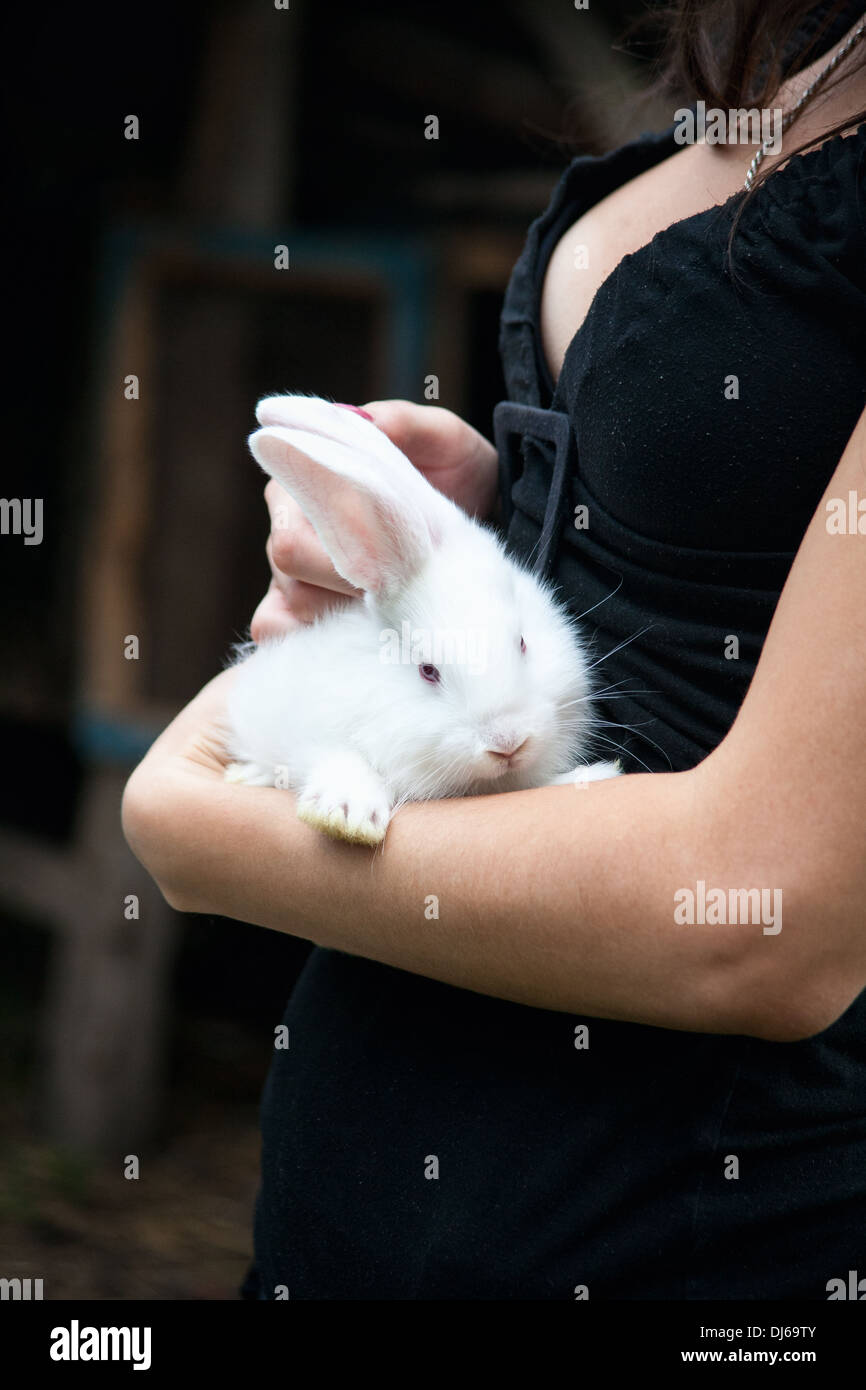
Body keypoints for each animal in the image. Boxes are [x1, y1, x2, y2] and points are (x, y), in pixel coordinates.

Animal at [223, 394, 617, 845]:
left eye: (522, 643)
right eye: (428, 671)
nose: (507, 742)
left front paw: (593, 776)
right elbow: (339, 758)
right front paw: (346, 816)